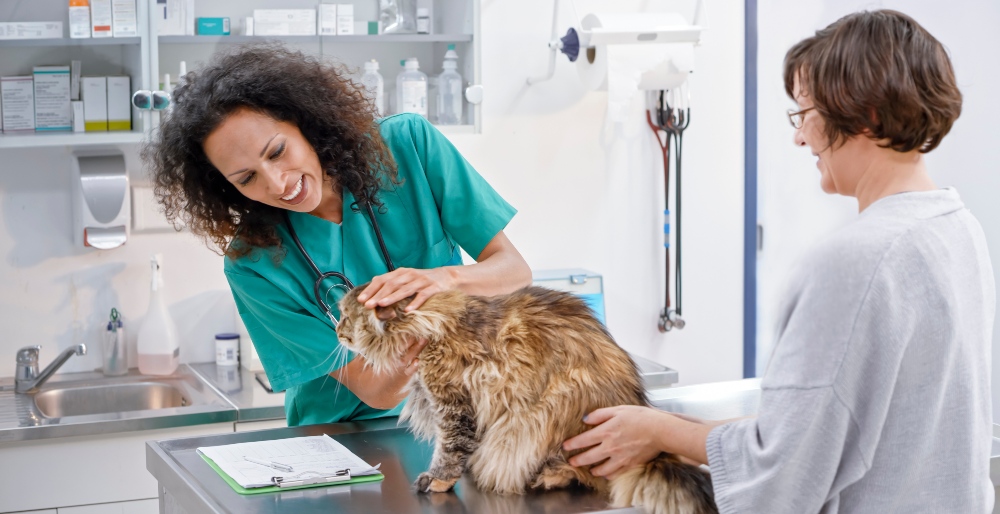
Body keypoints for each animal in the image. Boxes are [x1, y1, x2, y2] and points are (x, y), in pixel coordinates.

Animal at [338, 284, 720, 512]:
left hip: (546, 413)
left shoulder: (454, 405)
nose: (337, 331)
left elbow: (449, 449)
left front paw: (438, 480)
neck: (428, 325)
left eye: (345, 317)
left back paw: (549, 476)